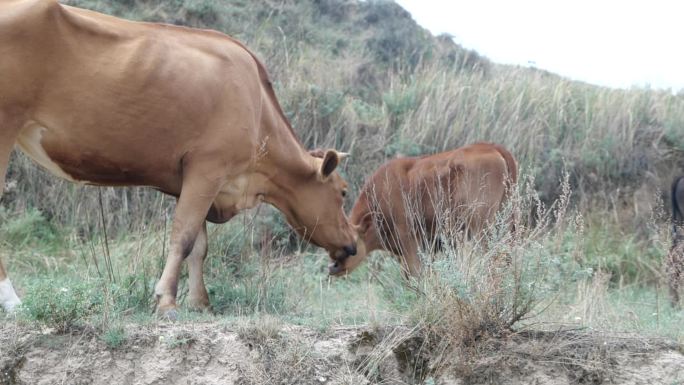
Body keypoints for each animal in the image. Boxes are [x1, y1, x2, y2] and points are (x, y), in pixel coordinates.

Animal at [1, 0, 358, 316]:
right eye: (342, 192)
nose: (353, 244)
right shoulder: (208, 167)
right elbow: (183, 237)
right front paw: (167, 302)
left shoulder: (190, 180)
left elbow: (199, 246)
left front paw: (199, 303)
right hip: (6, 124)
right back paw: (13, 302)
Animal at [328, 142, 516, 278]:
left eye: (351, 243)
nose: (333, 267)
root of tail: (492, 147)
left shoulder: (410, 242)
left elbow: (415, 275)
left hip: (482, 227)